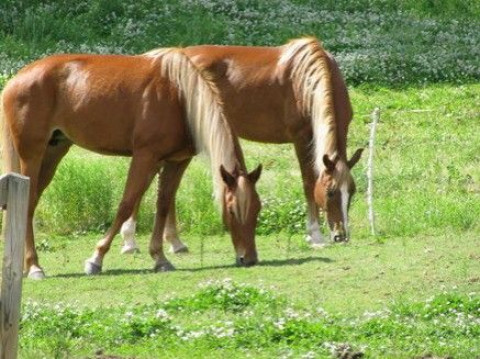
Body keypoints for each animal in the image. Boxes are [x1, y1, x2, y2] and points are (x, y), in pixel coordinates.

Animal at [0, 47, 262, 280]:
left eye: (257, 209)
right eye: (231, 210)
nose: (249, 259)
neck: (181, 96)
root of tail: (17, 79)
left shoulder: (176, 161)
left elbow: (163, 205)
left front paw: (160, 258)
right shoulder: (145, 156)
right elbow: (126, 204)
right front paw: (96, 259)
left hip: (53, 153)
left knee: (30, 204)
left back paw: (25, 266)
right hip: (32, 155)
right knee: (27, 203)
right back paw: (35, 267)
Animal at [120, 37, 364, 256]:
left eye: (352, 191)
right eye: (331, 192)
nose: (341, 236)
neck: (307, 81)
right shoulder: (301, 139)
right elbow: (308, 182)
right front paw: (315, 235)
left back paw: (173, 242)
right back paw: (131, 241)